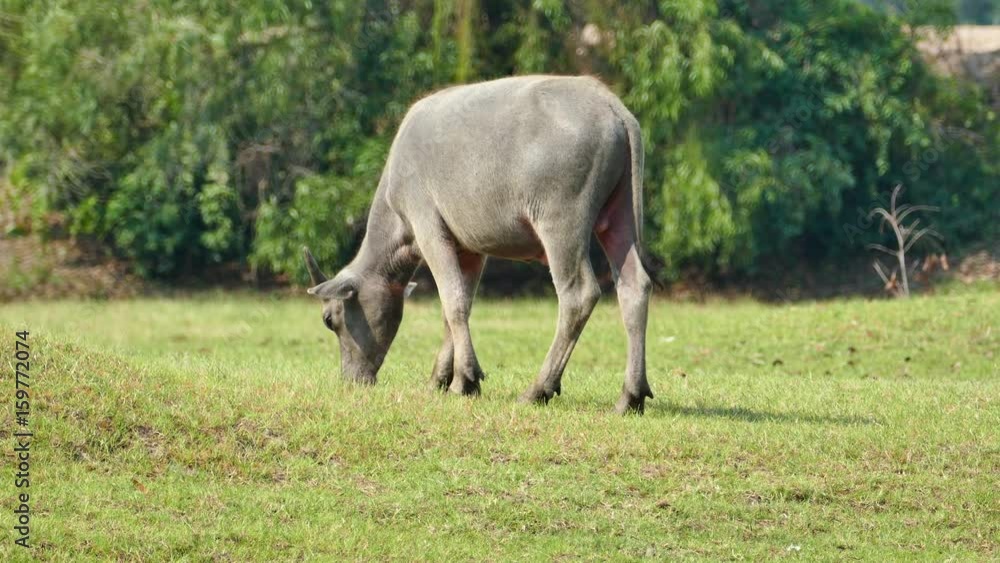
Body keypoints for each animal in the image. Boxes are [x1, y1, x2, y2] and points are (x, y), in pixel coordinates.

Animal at [308, 75, 660, 414]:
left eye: (330, 320)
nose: (352, 380)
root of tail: (612, 108)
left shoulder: (428, 228)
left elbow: (452, 301)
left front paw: (465, 379)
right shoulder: (469, 249)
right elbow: (456, 305)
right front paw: (441, 378)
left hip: (561, 222)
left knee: (578, 294)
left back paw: (538, 389)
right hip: (620, 216)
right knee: (634, 287)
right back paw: (631, 395)